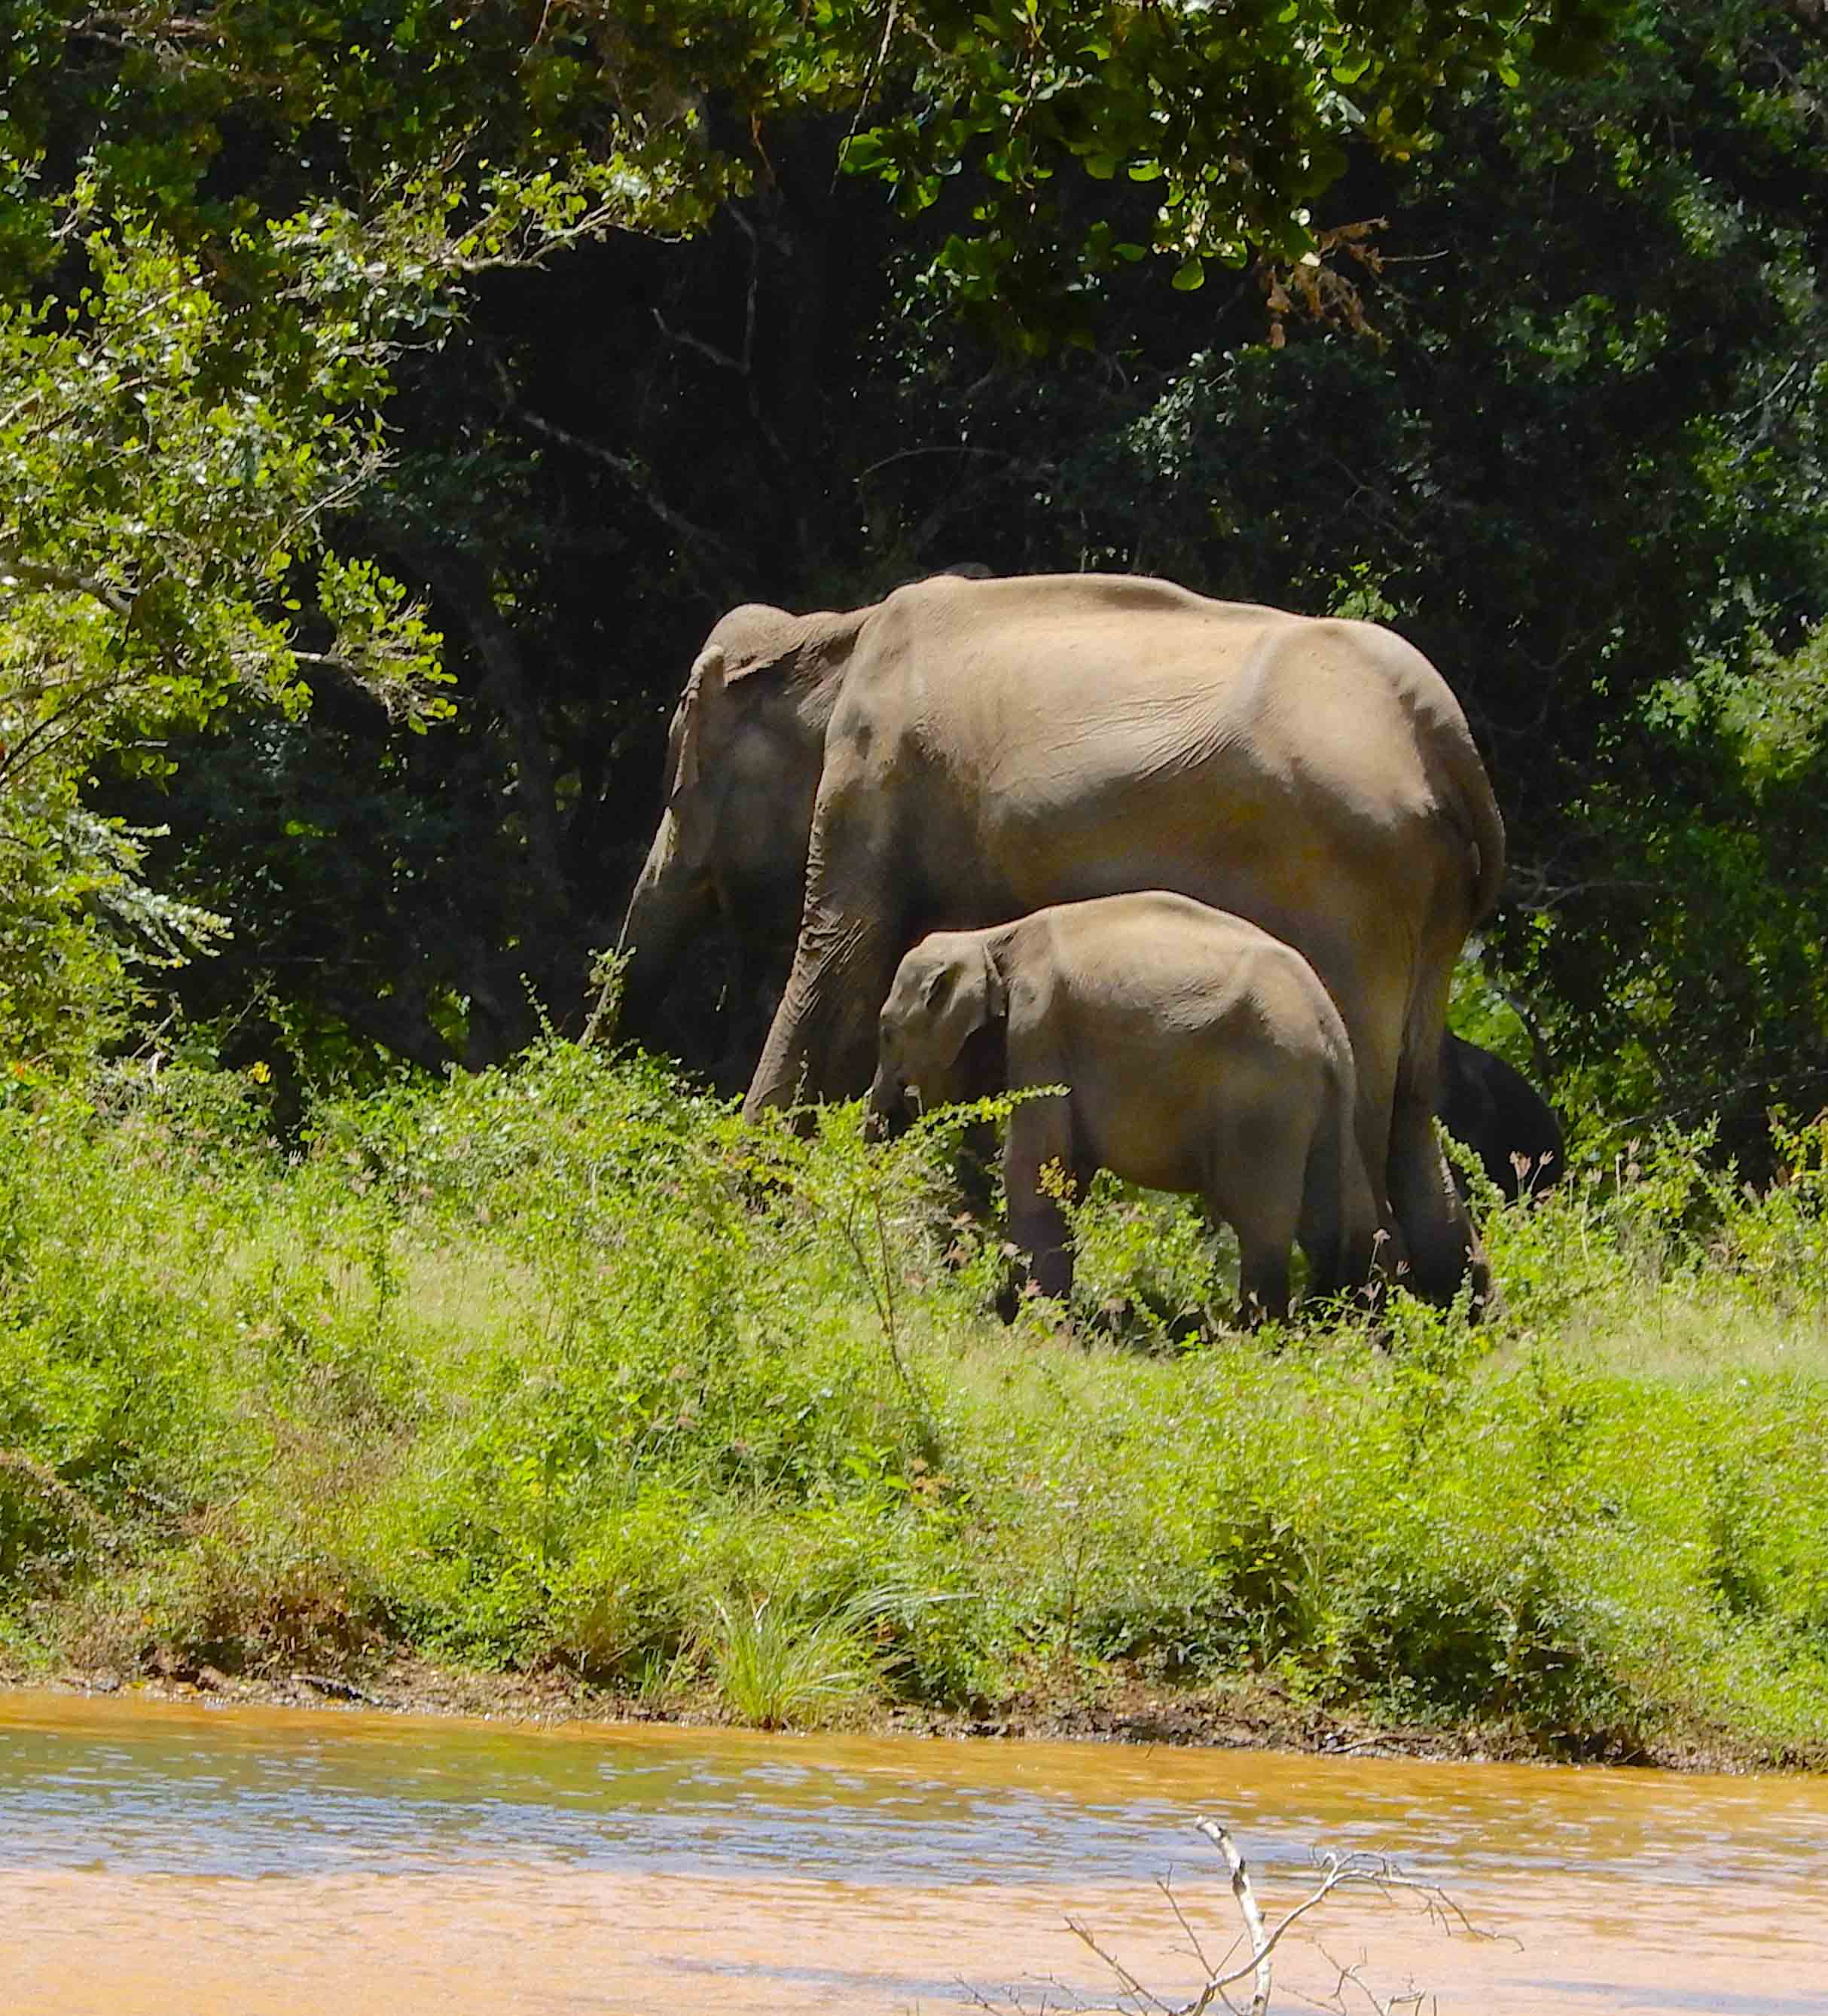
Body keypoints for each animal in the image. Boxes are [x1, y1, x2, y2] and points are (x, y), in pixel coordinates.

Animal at [866, 893, 1383, 1323]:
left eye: (887, 1033)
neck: (990, 939)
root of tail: (1329, 1026)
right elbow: (1067, 1172)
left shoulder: (1039, 1029)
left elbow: (1038, 1166)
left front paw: (1026, 1319)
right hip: (1320, 1104)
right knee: (1339, 1219)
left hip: (1264, 1101)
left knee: (1263, 1224)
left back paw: (1257, 1339)